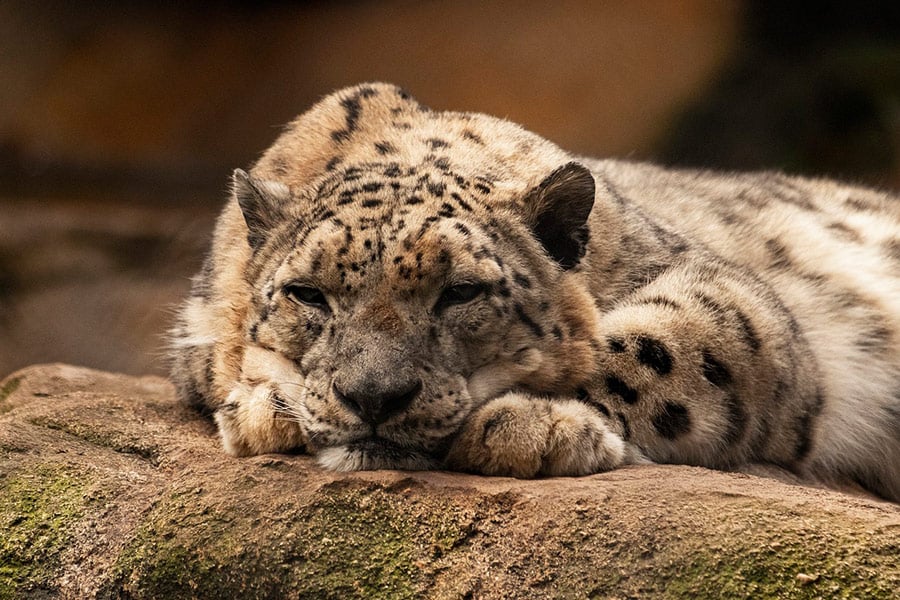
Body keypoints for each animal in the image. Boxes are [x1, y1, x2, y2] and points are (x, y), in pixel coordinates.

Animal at [170, 82, 900, 502]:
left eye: (461, 292)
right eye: (307, 294)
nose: (374, 397)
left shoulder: (729, 295)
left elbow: (652, 351)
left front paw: (533, 424)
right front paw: (265, 408)